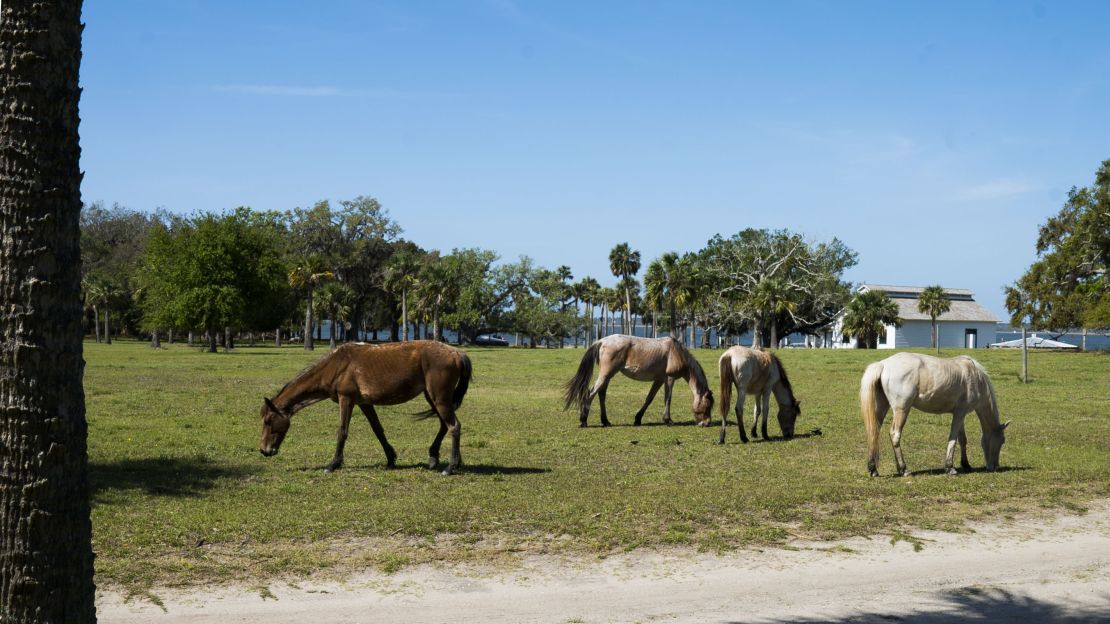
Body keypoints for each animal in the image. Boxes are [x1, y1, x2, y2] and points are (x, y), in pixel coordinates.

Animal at [259, 337, 472, 472]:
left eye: (268, 421)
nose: (264, 450)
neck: (337, 364)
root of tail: (457, 353)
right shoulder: (364, 403)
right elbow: (378, 430)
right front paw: (390, 459)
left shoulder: (346, 399)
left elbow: (342, 431)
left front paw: (333, 464)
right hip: (433, 397)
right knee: (445, 425)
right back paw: (438, 458)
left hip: (439, 398)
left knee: (454, 426)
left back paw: (450, 467)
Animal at [563, 335, 710, 426]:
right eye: (708, 406)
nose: (706, 423)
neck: (677, 352)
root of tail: (601, 341)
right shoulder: (669, 378)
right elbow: (668, 399)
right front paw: (668, 420)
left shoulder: (659, 379)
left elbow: (649, 398)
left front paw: (638, 419)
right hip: (606, 375)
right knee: (591, 393)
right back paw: (583, 420)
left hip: (608, 376)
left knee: (601, 394)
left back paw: (605, 421)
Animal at [861, 350, 1012, 475]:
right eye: (1002, 441)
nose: (995, 467)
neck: (975, 376)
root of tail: (883, 364)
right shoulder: (960, 413)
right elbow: (953, 439)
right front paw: (950, 467)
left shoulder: (959, 414)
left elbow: (962, 439)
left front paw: (966, 464)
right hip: (902, 409)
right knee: (895, 435)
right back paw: (904, 469)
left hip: (882, 407)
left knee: (874, 432)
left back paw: (874, 469)